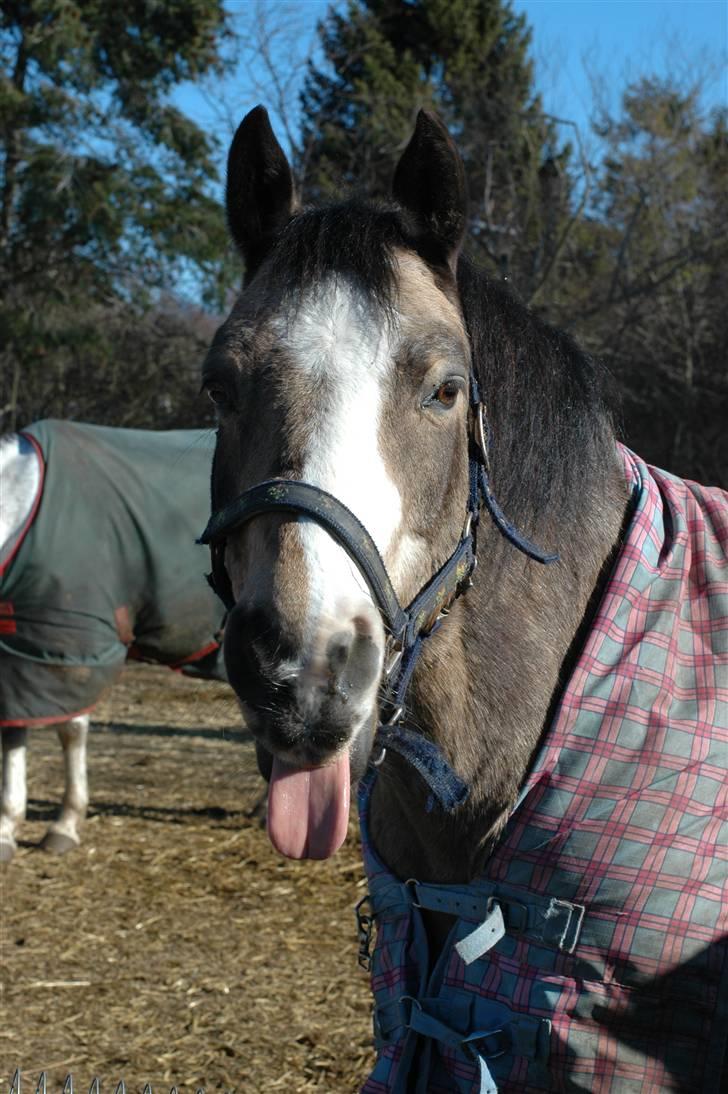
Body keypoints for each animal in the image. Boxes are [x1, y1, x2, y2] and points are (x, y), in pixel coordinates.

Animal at [0, 417, 225, 862]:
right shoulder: (18, 646)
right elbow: (13, 732)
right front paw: (6, 827)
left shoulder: (73, 646)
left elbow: (71, 730)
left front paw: (65, 824)